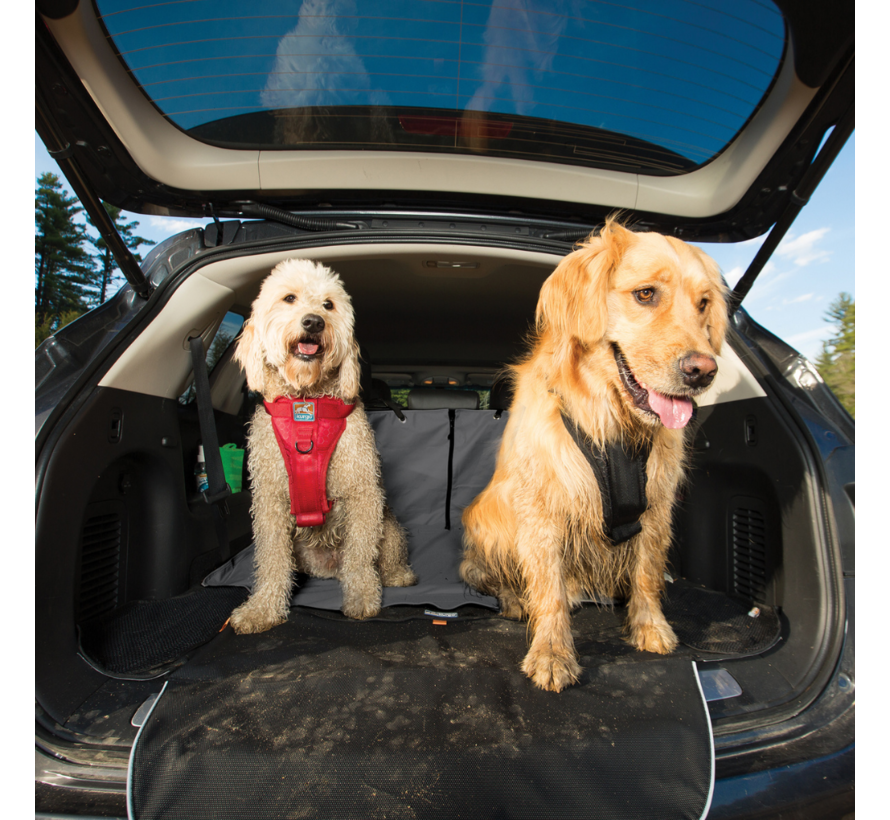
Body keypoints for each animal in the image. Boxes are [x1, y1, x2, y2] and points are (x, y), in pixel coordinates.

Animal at [225, 260, 412, 632]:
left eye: (328, 305)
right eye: (289, 298)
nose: (314, 322)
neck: (306, 403)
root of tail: (327, 566)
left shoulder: (362, 492)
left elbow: (359, 557)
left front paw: (362, 598)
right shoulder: (270, 501)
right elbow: (271, 560)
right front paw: (262, 609)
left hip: (389, 528)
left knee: (377, 560)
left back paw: (397, 575)